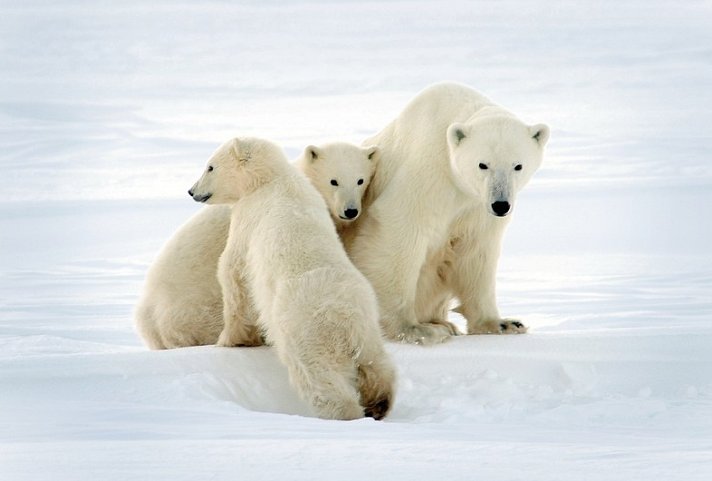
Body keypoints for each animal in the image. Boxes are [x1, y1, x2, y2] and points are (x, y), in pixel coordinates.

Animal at [188, 137, 394, 418]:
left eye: (210, 166)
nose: (192, 191)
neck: (273, 179)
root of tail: (344, 316)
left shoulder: (248, 218)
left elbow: (234, 273)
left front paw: (229, 340)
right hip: (368, 325)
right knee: (377, 366)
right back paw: (379, 403)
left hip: (304, 331)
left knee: (320, 380)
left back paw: (345, 412)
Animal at [350, 83, 552, 344]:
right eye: (482, 164)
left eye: (518, 165)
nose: (501, 205)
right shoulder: (427, 174)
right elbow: (399, 230)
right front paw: (412, 329)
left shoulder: (477, 207)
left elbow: (476, 251)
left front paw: (503, 324)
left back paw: (444, 323)